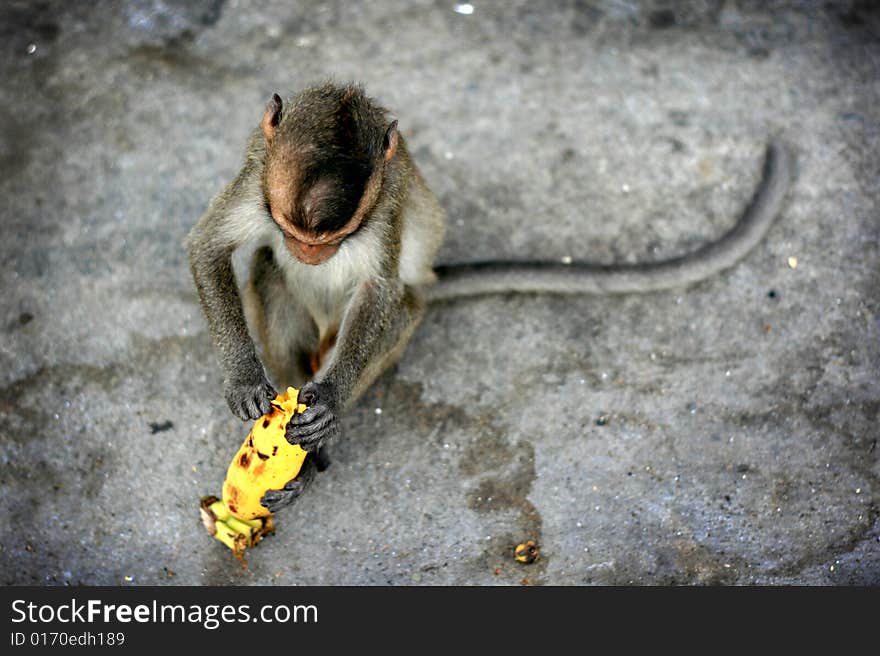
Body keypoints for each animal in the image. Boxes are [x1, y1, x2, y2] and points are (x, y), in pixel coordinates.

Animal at [184, 80, 792, 512]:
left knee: (399, 306)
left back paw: (311, 452)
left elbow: (379, 291)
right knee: (265, 267)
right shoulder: (255, 177)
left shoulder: (386, 206)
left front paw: (328, 405)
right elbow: (209, 247)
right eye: (291, 229)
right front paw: (244, 380)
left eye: (332, 238)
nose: (310, 255)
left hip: (392, 313)